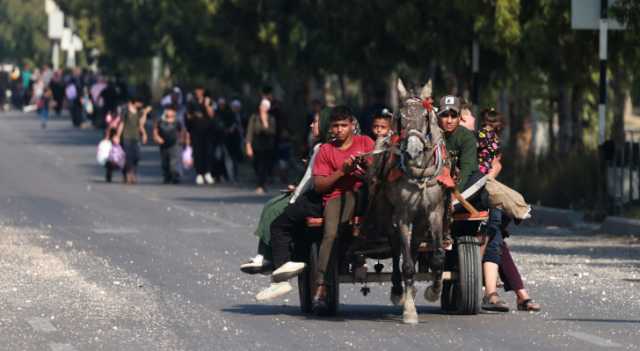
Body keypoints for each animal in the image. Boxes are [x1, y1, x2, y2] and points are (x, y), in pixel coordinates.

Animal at [364, 79, 444, 324]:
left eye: (426, 116)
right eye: (400, 117)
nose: (413, 151)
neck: (419, 174)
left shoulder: (435, 211)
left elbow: (438, 256)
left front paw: (434, 290)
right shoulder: (402, 215)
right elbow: (406, 263)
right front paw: (409, 310)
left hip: (420, 220)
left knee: (415, 244)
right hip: (387, 212)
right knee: (397, 247)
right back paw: (399, 290)